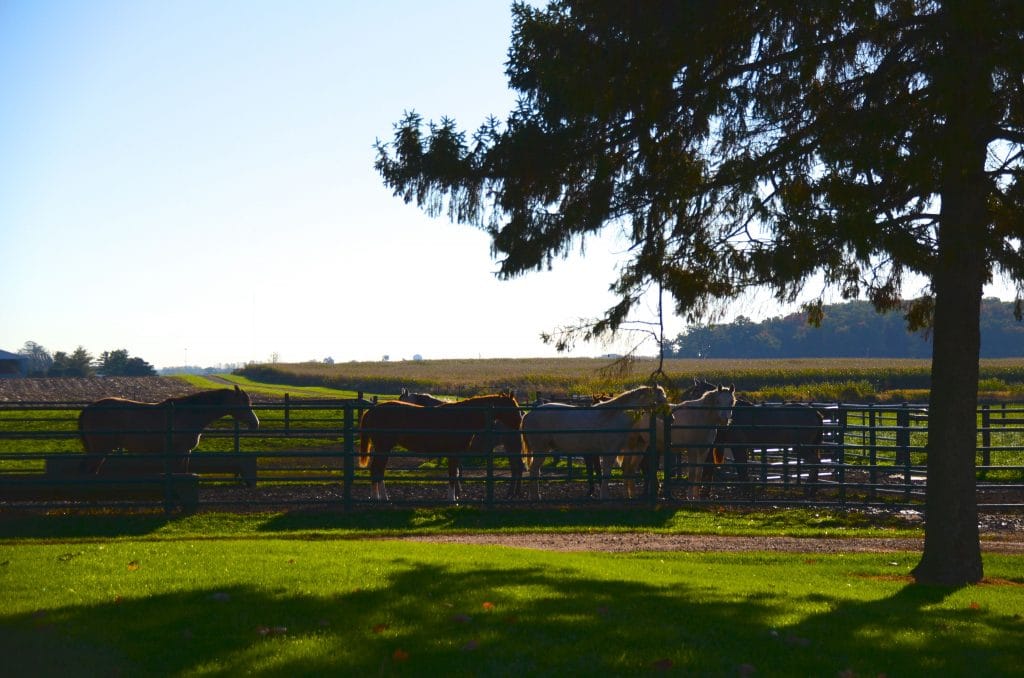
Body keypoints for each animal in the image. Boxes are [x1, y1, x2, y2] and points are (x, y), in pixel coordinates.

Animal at [76, 385, 260, 475]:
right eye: (244, 403)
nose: (255, 424)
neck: (188, 412)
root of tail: (89, 408)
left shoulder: (186, 452)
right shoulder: (180, 451)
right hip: (100, 450)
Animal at [358, 395, 524, 501]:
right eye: (513, 408)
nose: (519, 425)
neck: (462, 416)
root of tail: (371, 411)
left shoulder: (456, 454)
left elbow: (455, 474)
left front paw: (455, 497)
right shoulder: (454, 453)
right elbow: (452, 475)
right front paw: (452, 499)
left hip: (384, 448)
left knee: (379, 470)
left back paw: (384, 497)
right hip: (383, 447)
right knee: (376, 469)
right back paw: (377, 498)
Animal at [524, 385, 667, 501]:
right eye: (660, 400)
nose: (669, 416)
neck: (613, 416)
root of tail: (529, 414)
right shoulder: (609, 453)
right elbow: (605, 473)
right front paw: (604, 496)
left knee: (535, 471)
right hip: (540, 451)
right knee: (534, 471)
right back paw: (536, 497)